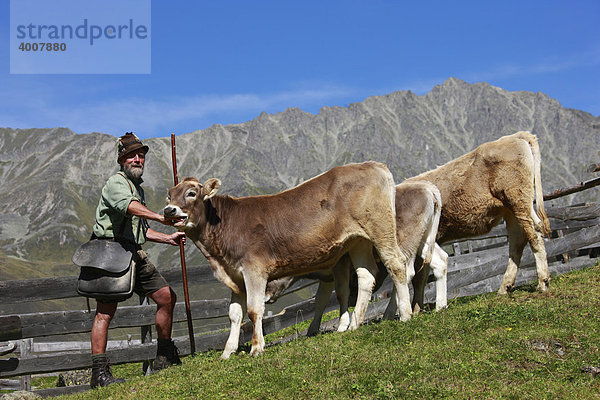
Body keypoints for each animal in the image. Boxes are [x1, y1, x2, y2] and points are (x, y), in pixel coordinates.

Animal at [163, 161, 412, 358]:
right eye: (169, 194)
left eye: (191, 193)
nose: (168, 210)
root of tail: (372, 165)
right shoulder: (235, 276)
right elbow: (234, 315)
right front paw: (227, 351)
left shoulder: (254, 270)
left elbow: (254, 310)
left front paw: (256, 347)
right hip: (358, 241)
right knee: (366, 276)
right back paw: (355, 323)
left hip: (380, 229)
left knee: (396, 264)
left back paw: (405, 314)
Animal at [406, 131, 552, 294]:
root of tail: (516, 136)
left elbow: (417, 278)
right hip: (515, 207)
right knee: (524, 236)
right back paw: (505, 286)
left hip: (517, 199)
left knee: (533, 235)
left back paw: (542, 282)